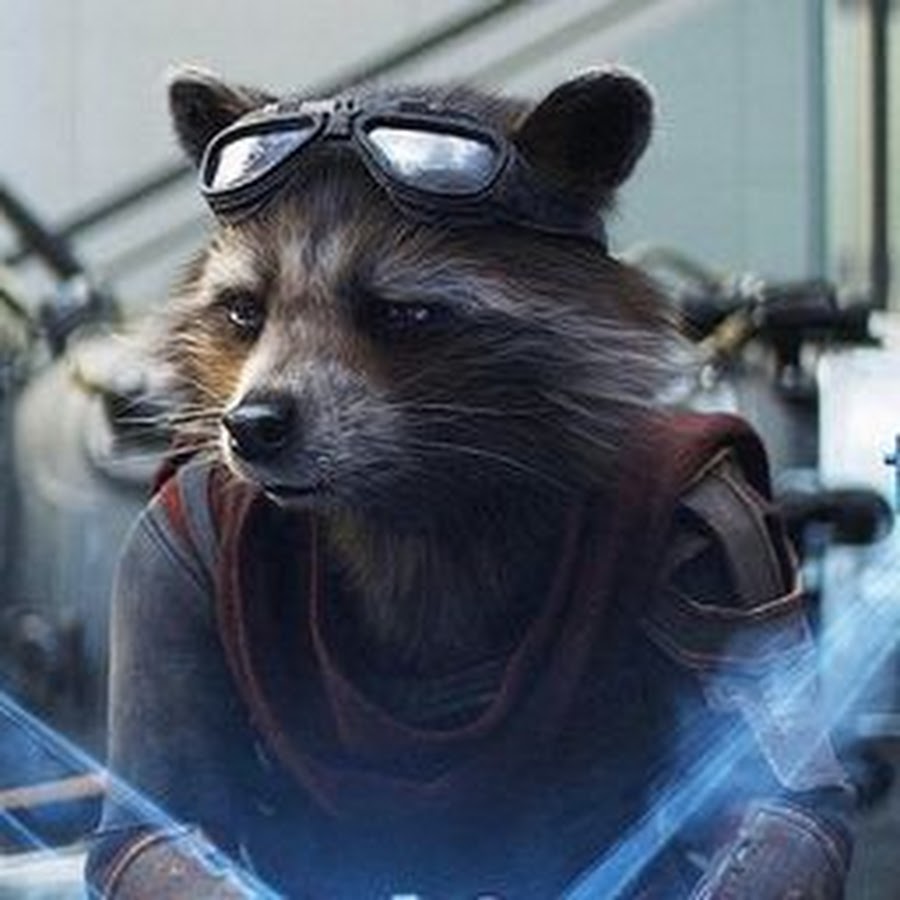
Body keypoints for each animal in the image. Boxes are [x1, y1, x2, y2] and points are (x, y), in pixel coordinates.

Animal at [87, 69, 852, 900]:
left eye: (402, 314)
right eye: (244, 312)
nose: (253, 426)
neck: (418, 493)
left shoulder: (710, 510)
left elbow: (783, 805)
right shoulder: (171, 533)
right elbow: (154, 827)